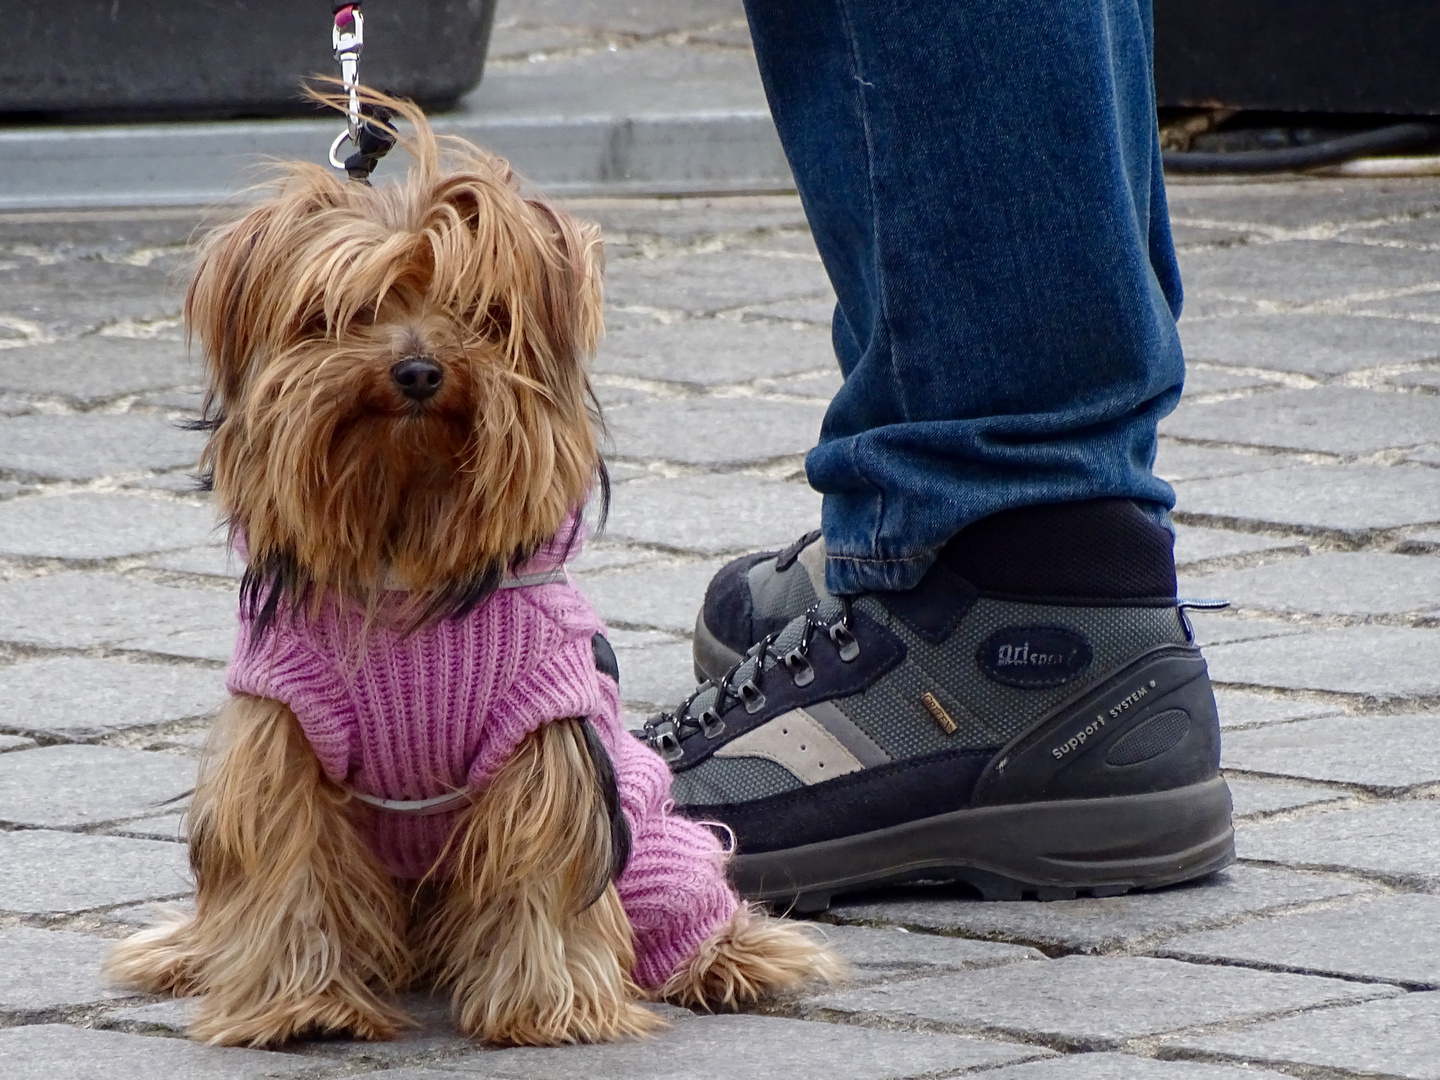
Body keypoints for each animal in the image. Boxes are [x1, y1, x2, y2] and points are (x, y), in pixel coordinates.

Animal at [106, 95, 840, 1048]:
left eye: (477, 312)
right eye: (351, 310)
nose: (419, 369)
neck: (402, 554)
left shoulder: (543, 736)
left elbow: (541, 865)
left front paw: (548, 1007)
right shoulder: (281, 730)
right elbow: (285, 861)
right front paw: (302, 1005)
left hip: (654, 840)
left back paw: (727, 958)